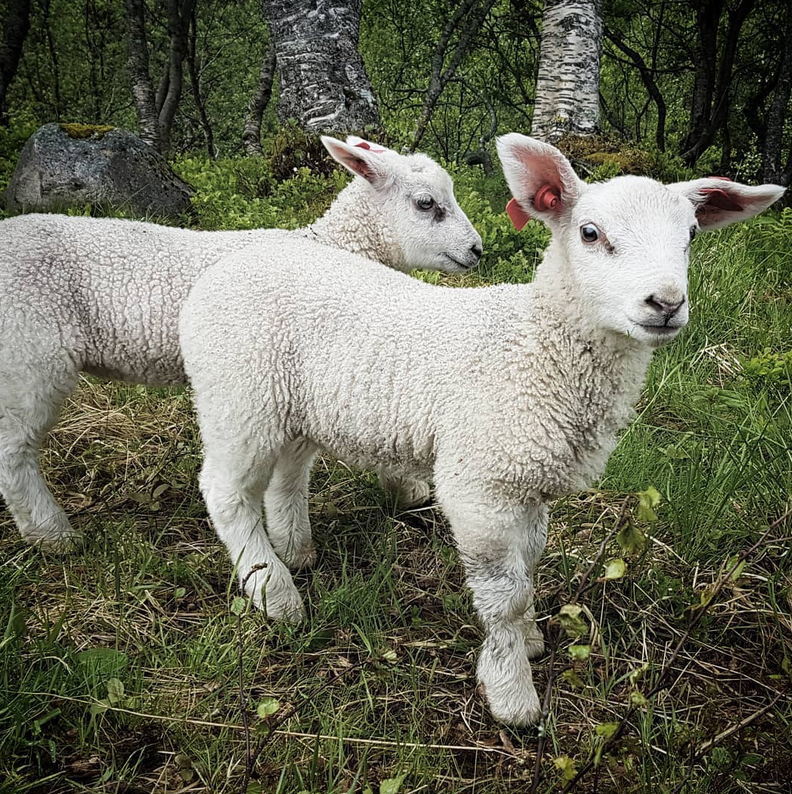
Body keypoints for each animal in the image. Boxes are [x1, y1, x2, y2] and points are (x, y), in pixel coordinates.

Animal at [0, 136, 482, 548]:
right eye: (426, 203)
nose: (477, 250)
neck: (336, 245)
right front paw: (408, 489)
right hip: (28, 353)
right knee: (13, 450)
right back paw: (53, 535)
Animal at [178, 135, 780, 724]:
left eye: (691, 235)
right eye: (589, 233)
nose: (666, 303)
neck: (534, 345)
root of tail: (223, 268)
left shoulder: (530, 480)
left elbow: (529, 564)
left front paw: (530, 639)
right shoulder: (480, 487)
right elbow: (503, 594)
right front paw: (511, 691)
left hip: (292, 405)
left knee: (287, 472)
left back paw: (296, 550)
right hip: (238, 396)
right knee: (226, 492)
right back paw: (274, 592)